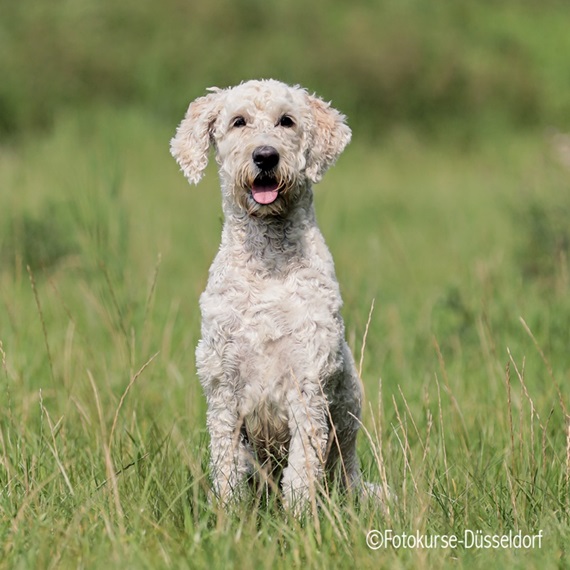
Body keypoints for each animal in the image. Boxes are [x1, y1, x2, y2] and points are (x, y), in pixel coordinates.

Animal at [171, 79, 362, 510]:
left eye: (286, 121)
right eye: (238, 121)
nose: (265, 156)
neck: (268, 264)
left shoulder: (308, 382)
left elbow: (302, 468)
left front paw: (301, 518)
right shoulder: (223, 385)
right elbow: (227, 464)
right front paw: (228, 514)